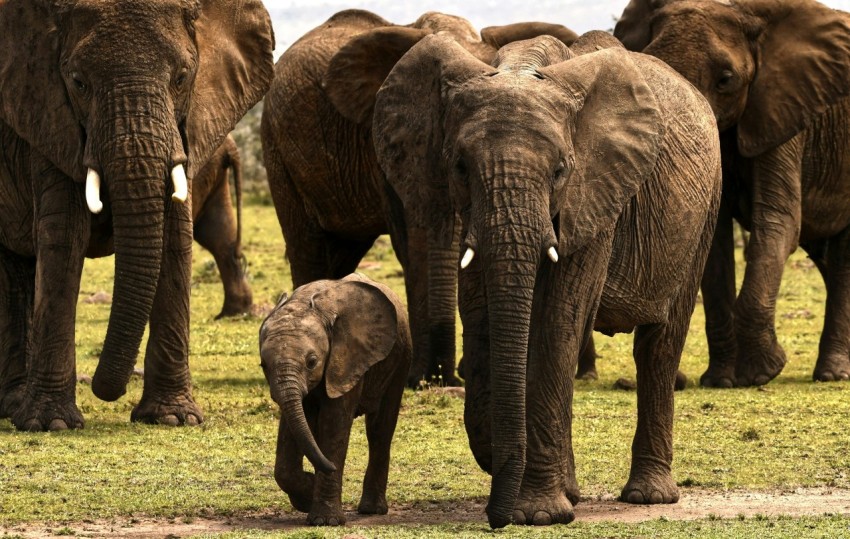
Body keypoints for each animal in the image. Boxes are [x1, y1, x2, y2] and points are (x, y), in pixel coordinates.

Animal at [259, 273, 411, 526]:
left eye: (312, 362)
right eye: (263, 366)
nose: (326, 469)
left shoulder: (348, 358)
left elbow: (334, 424)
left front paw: (325, 521)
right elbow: (294, 427)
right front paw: (308, 494)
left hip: (400, 358)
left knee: (380, 430)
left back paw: (371, 510)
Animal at [260, 9, 578, 389]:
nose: (442, 377)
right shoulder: (384, 140)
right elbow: (413, 243)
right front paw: (420, 376)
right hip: (277, 150)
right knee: (307, 245)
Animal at [364, 32, 721, 527]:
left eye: (559, 171)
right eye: (459, 168)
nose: (496, 519)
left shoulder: (595, 194)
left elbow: (559, 319)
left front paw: (538, 514)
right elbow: (481, 314)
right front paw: (505, 462)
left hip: (705, 211)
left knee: (659, 346)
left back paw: (648, 496)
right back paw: (572, 490)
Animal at [614, 0, 850, 387]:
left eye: (726, 80)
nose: (680, 381)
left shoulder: (781, 111)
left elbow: (778, 221)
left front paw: (761, 373)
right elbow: (714, 240)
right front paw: (720, 380)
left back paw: (832, 375)